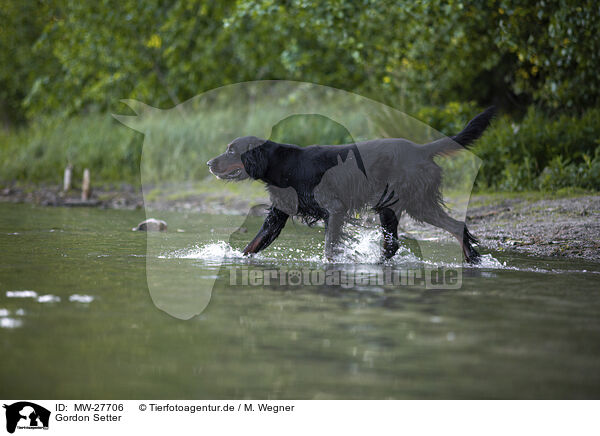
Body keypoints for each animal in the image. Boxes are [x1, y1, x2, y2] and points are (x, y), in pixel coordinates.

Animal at [209, 107, 494, 262]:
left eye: (232, 151)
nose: (209, 163)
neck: (285, 165)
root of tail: (421, 150)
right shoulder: (278, 214)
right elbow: (253, 245)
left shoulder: (335, 210)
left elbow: (329, 248)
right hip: (391, 208)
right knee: (396, 244)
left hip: (416, 202)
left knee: (455, 227)